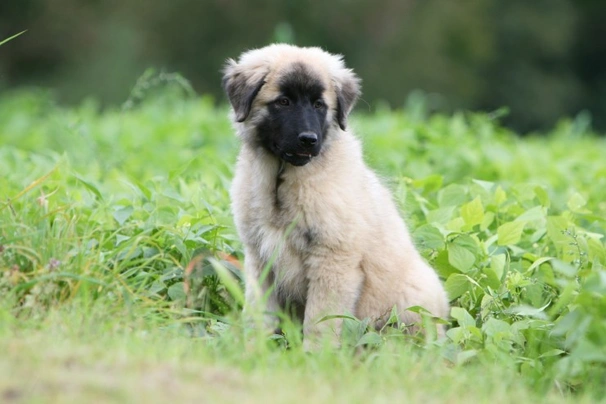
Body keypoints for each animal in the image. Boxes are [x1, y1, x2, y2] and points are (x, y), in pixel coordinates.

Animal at [223, 43, 452, 348]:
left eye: (319, 105)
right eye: (283, 102)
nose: (309, 140)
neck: (282, 180)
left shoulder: (332, 259)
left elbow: (320, 321)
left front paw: (314, 355)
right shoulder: (260, 258)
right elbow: (260, 314)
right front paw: (255, 349)